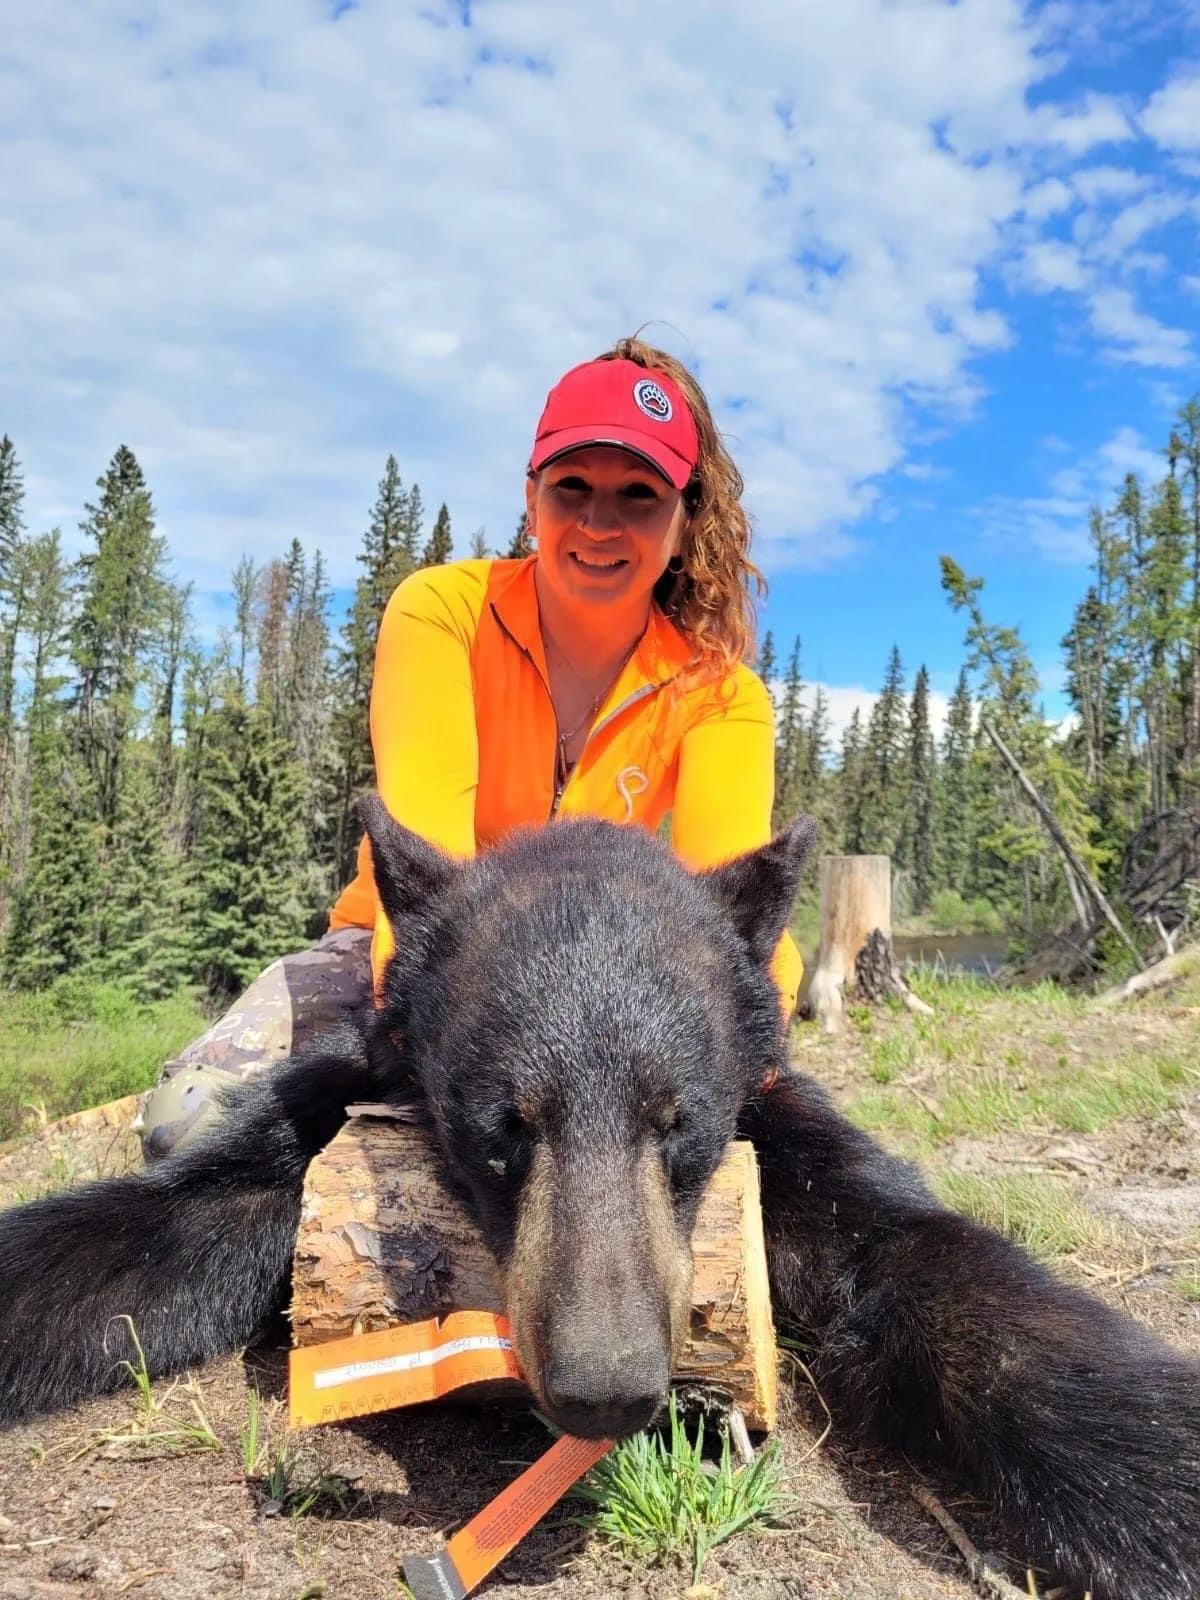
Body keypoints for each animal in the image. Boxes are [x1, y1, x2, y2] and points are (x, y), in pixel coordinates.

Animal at [0, 798, 1197, 1600]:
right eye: (503, 1125)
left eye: (679, 1120)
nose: (604, 1386)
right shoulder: (326, 1104)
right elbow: (162, 1225)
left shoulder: (783, 1128)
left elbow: (929, 1264)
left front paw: (1159, 1478)